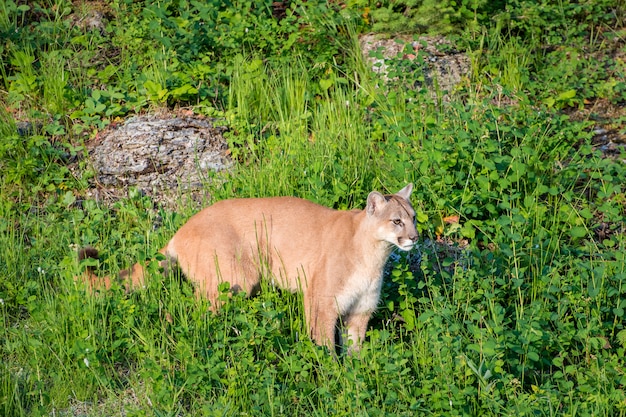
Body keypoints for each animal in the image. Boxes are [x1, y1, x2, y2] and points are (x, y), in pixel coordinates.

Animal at [79, 184, 420, 350]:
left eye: (414, 217)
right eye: (396, 221)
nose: (415, 237)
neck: (374, 253)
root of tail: (182, 229)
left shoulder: (360, 312)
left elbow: (353, 350)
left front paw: (354, 380)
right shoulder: (321, 303)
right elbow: (324, 345)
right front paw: (331, 377)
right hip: (234, 280)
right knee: (191, 311)